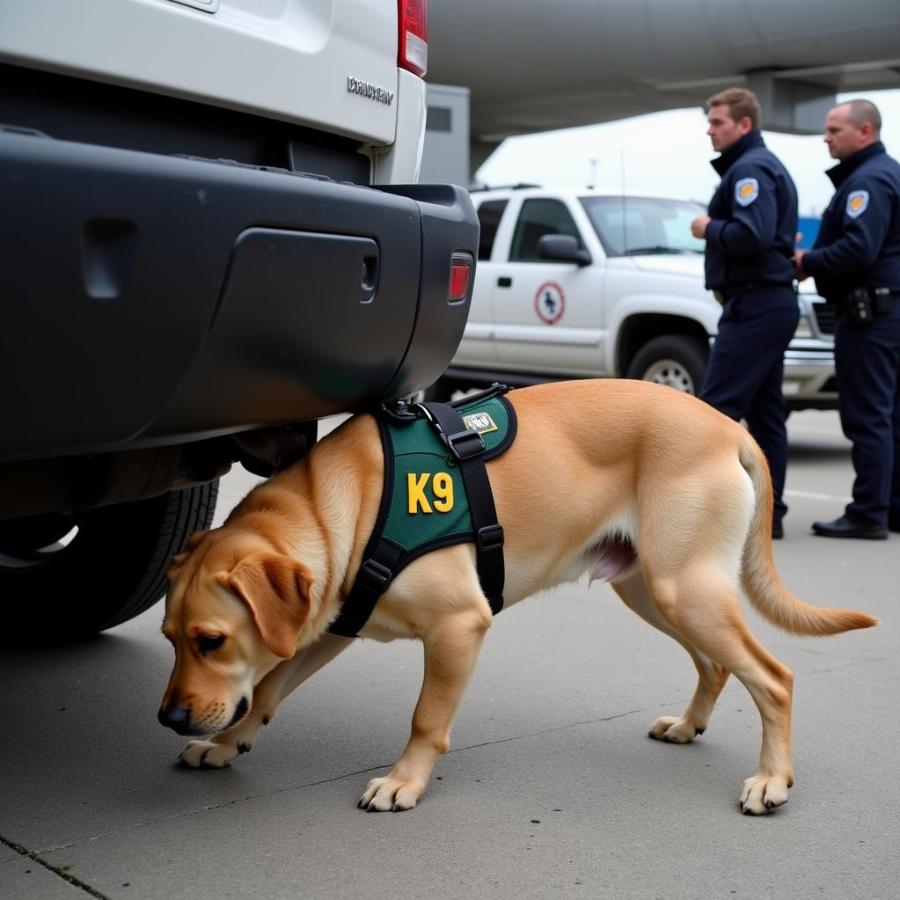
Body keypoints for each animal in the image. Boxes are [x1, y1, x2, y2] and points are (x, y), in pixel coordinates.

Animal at [158, 380, 876, 816]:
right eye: (170, 638)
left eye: (211, 641)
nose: (169, 717)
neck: (348, 504)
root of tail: (728, 426)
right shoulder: (330, 625)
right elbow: (269, 687)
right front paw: (227, 743)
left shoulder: (458, 626)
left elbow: (426, 719)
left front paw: (404, 781)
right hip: (654, 591)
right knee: (717, 664)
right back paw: (689, 724)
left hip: (686, 590)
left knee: (773, 678)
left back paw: (773, 779)